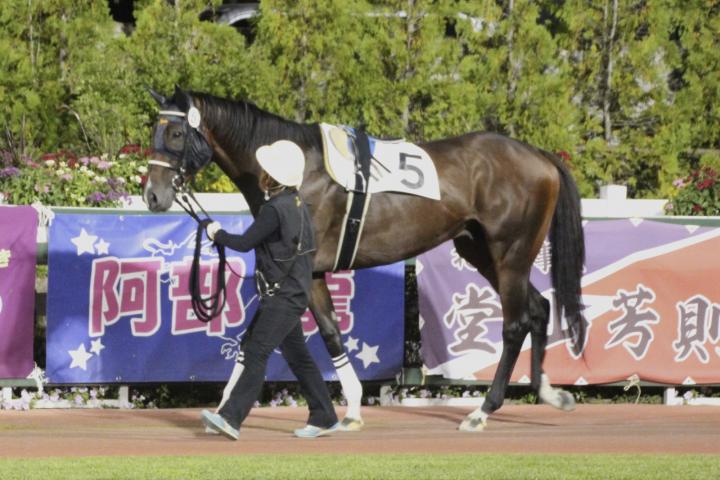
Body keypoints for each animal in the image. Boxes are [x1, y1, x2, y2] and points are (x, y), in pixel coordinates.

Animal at [142, 86, 584, 432]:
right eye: (154, 131)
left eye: (177, 132)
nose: (153, 194)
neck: (299, 172)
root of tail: (539, 156)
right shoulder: (305, 272)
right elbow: (313, 333)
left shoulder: (302, 267)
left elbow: (295, 333)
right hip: (481, 251)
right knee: (539, 308)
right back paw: (549, 393)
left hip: (510, 252)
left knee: (515, 324)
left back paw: (482, 410)